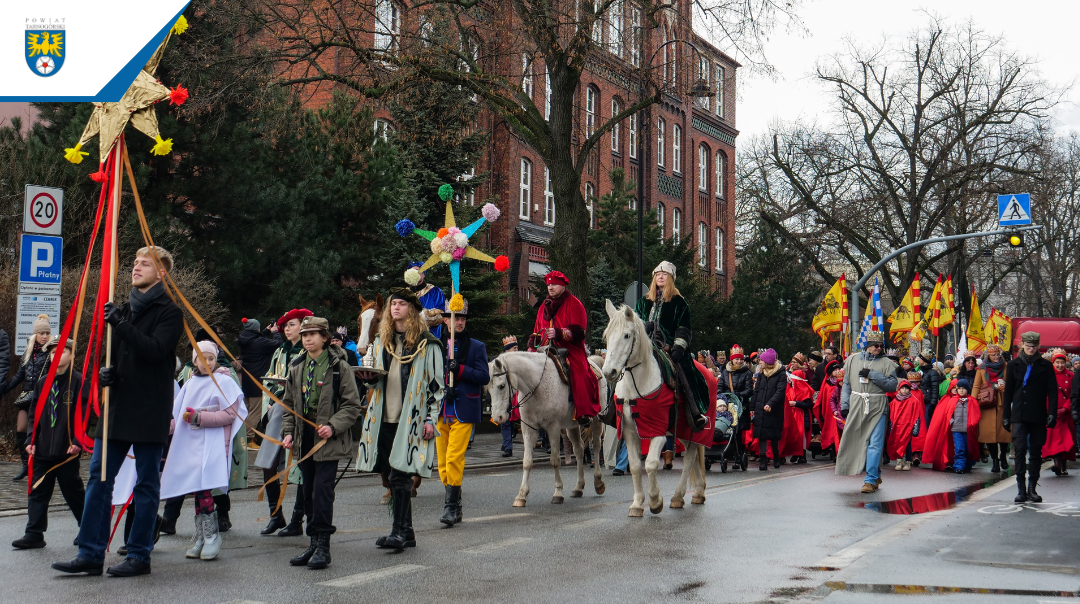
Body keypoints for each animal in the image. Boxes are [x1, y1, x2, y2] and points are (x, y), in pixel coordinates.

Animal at [490, 352, 609, 507]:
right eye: (488, 388)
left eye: (501, 386)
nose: (497, 417)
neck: (536, 387)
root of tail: (594, 363)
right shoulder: (529, 429)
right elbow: (527, 461)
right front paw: (521, 495)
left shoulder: (553, 428)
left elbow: (555, 460)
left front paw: (558, 493)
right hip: (572, 426)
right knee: (579, 449)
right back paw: (578, 487)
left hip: (596, 419)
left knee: (596, 446)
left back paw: (598, 483)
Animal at [600, 300, 708, 518]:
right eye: (607, 336)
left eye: (626, 335)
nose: (609, 372)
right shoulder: (630, 431)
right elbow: (634, 466)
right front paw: (637, 504)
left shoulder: (658, 430)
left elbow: (650, 463)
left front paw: (656, 501)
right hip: (683, 430)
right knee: (692, 454)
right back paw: (697, 493)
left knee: (690, 456)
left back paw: (678, 496)